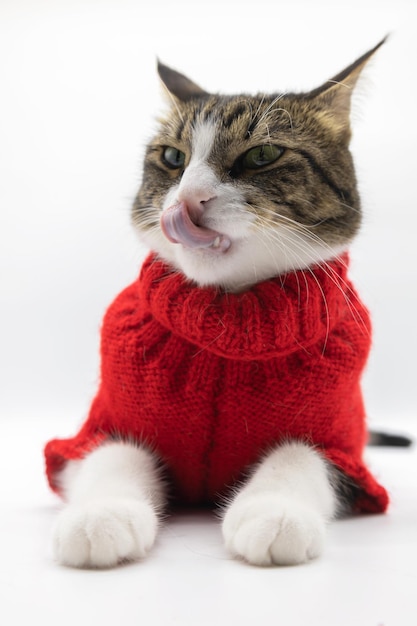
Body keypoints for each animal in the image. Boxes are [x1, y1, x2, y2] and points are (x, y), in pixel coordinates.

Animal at [46, 37, 390, 564]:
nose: (188, 199)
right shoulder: (98, 427)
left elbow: (301, 453)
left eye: (263, 154)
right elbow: (114, 453)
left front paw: (274, 513)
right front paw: (101, 515)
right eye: (172, 157)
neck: (227, 319)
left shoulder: (342, 446)